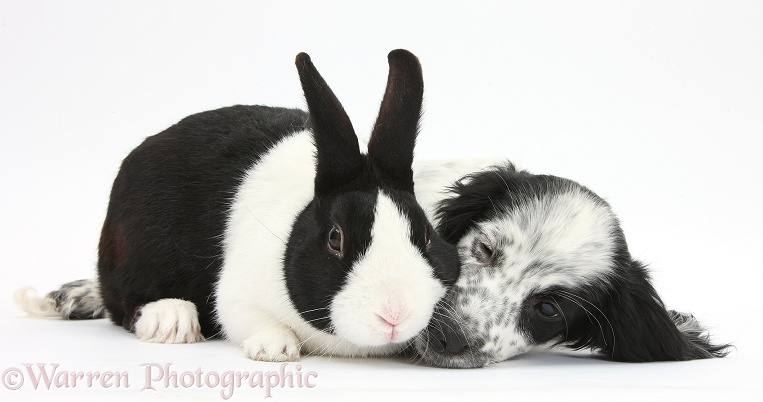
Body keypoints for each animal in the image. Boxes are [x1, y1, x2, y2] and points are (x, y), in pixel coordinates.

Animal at [13, 49, 460, 362]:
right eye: (336, 238)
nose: (395, 315)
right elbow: (250, 319)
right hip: (133, 257)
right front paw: (275, 348)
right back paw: (171, 321)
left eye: (423, 234)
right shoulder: (234, 297)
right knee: (123, 303)